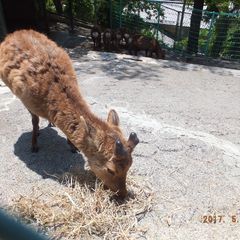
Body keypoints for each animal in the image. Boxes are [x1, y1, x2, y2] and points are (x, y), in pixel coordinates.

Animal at [0, 30, 139, 199]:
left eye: (130, 164)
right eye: (110, 169)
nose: (123, 193)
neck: (46, 101)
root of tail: (14, 33)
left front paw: (73, 146)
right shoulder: (27, 101)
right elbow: (34, 120)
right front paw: (34, 145)